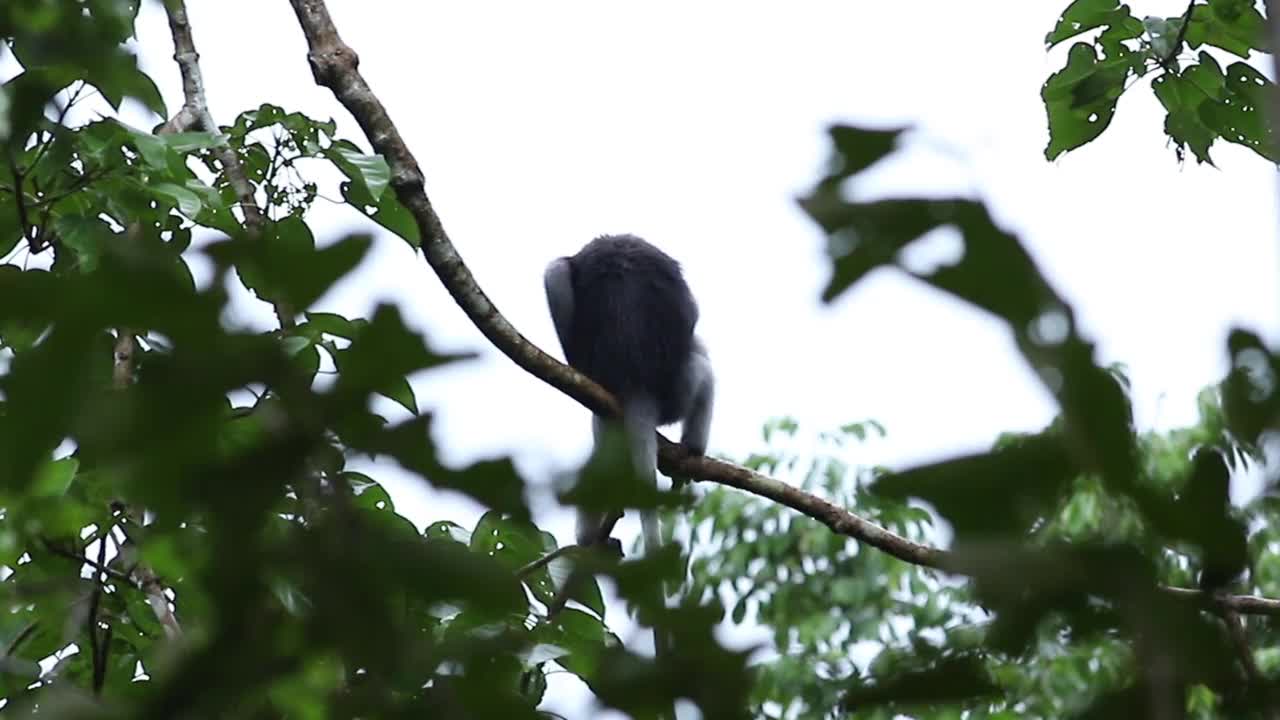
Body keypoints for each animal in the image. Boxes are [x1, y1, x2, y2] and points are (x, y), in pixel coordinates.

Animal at [542, 234, 716, 548]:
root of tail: (634, 382)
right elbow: (693, 313)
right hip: (679, 393)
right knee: (704, 370)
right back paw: (693, 451)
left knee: (554, 272)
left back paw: (587, 537)